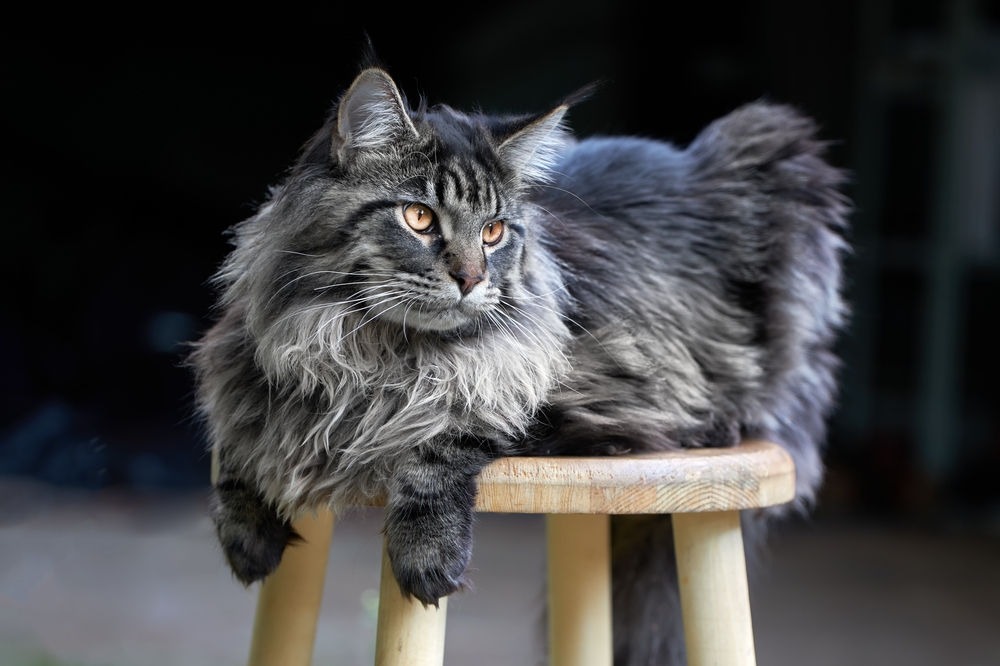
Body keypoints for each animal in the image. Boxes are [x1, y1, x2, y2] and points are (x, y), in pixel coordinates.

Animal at [191, 59, 848, 660]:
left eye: (494, 232)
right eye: (419, 218)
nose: (471, 278)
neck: (370, 355)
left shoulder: (575, 400)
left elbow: (443, 437)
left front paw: (426, 553)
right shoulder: (250, 369)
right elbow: (241, 440)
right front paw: (246, 533)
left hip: (774, 149)